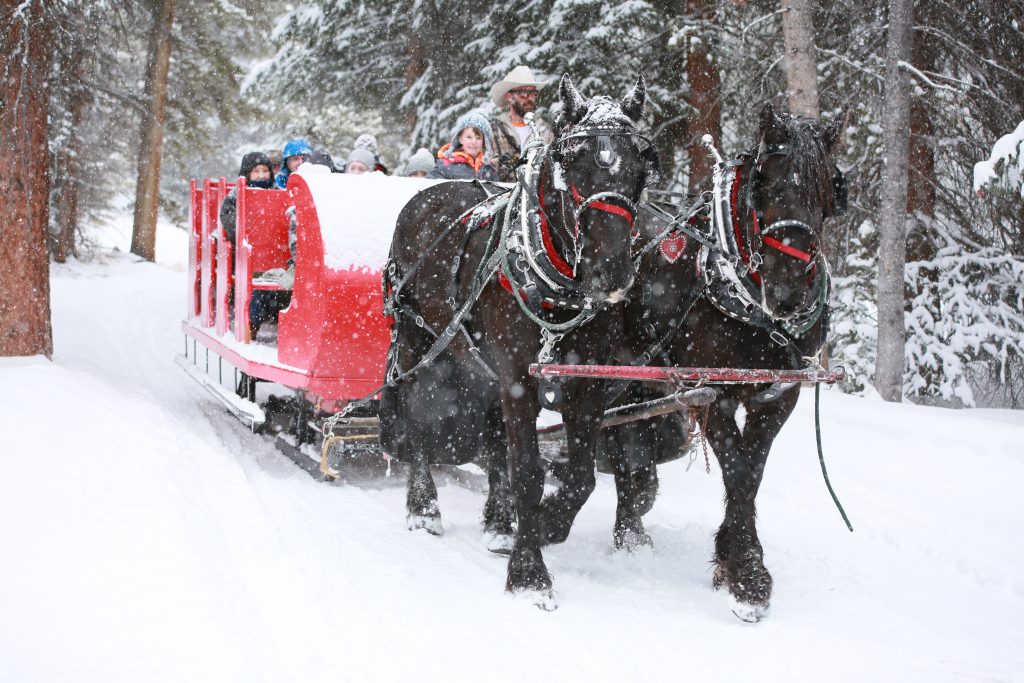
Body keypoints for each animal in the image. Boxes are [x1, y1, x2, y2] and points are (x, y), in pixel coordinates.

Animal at [378, 74, 655, 610]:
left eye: (641, 164)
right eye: (575, 160)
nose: (610, 272)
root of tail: (423, 196)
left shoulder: (585, 383)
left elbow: (581, 476)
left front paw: (544, 525)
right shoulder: (518, 380)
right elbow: (527, 470)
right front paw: (529, 573)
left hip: (479, 365)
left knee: (491, 439)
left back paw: (499, 520)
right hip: (418, 343)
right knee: (417, 422)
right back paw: (423, 506)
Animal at [606, 102, 847, 618]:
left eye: (824, 192)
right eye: (766, 186)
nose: (788, 293)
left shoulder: (778, 393)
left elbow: (751, 473)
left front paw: (732, 554)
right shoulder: (710, 390)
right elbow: (736, 469)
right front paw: (748, 574)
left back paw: (632, 519)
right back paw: (627, 525)